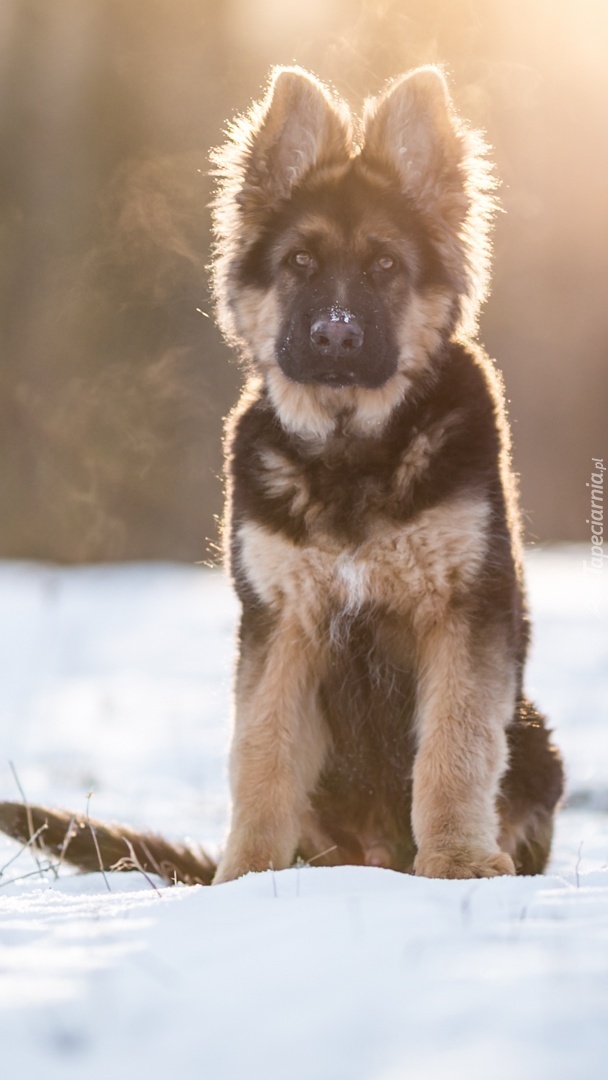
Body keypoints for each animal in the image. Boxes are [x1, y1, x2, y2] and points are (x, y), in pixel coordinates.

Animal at [0, 67, 565, 881]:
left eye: (384, 267)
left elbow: (454, 747)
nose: (335, 334)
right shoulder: (280, 623)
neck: (350, 451)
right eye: (300, 263)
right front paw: (243, 881)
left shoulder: (462, 612)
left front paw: (458, 860)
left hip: (537, 738)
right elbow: (263, 755)